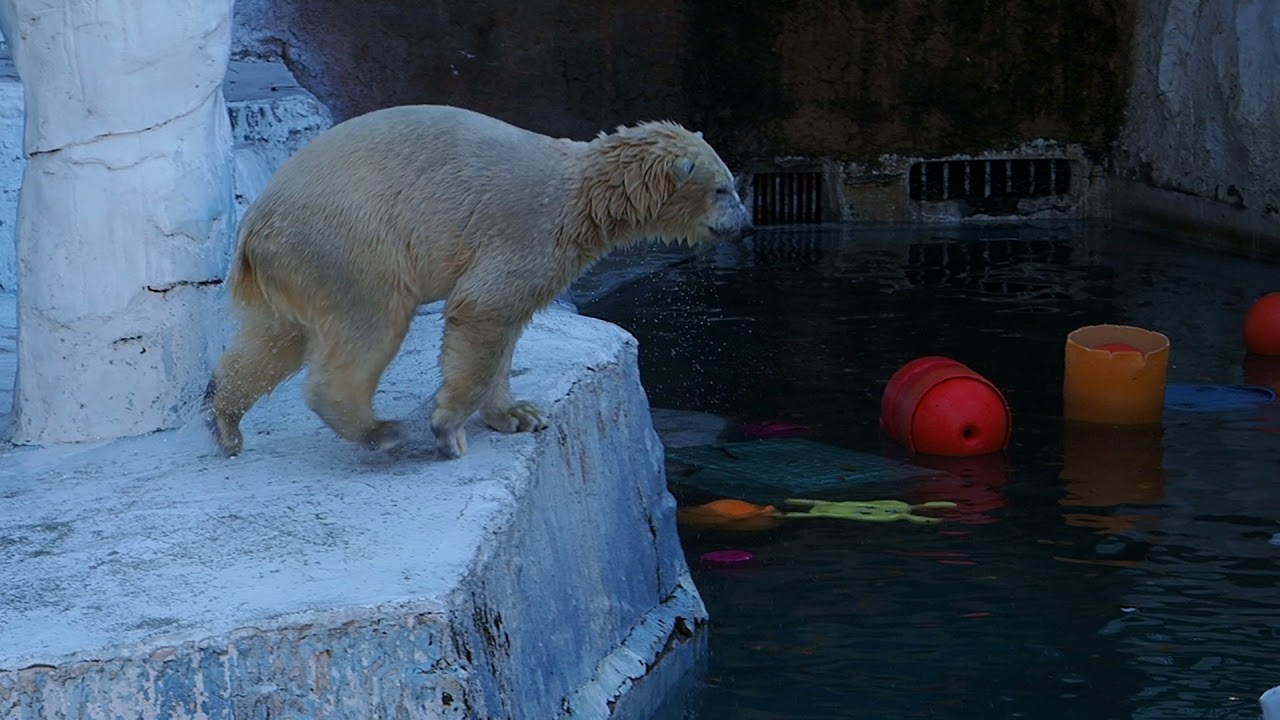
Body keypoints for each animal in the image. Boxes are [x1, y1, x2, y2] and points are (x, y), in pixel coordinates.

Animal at [204, 104, 751, 459]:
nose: (745, 225)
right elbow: (485, 310)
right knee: (369, 325)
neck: (585, 198)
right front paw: (448, 429)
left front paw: (519, 414)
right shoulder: (529, 229)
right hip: (351, 244)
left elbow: (506, 329)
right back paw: (381, 431)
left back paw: (224, 422)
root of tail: (253, 227)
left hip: (295, 266)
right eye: (723, 189)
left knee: (274, 341)